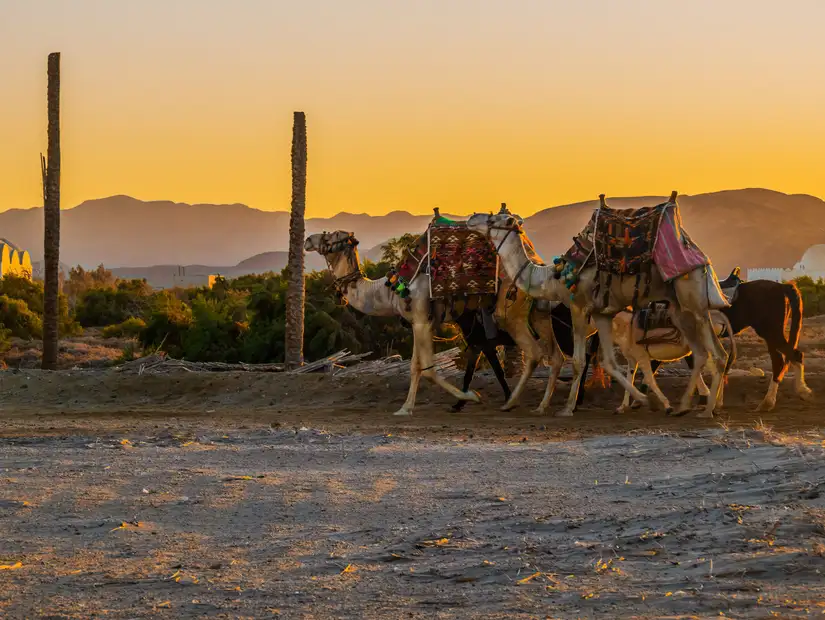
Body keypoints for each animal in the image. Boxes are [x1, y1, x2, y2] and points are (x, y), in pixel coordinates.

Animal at [302, 230, 592, 414]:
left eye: (331, 236)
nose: (307, 239)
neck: (392, 290)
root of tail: (538, 266)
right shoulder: (423, 322)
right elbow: (416, 367)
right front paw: (406, 407)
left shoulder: (421, 319)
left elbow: (428, 369)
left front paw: (470, 397)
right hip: (540, 314)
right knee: (556, 356)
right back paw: (543, 405)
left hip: (511, 313)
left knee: (536, 353)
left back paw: (513, 403)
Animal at [466, 194, 732, 416]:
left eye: (493, 219)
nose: (471, 218)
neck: (555, 278)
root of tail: (700, 257)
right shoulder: (603, 313)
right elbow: (610, 363)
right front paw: (649, 401)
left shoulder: (579, 307)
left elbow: (578, 361)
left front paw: (567, 409)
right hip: (678, 308)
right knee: (701, 353)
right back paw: (684, 407)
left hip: (693, 297)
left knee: (717, 354)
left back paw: (707, 410)